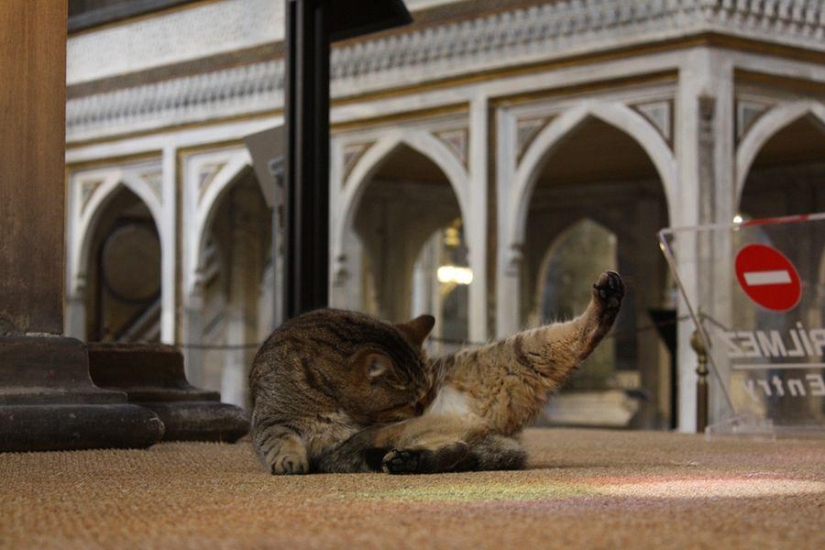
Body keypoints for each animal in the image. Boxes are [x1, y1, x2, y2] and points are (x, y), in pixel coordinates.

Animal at [248, 270, 620, 474]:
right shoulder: (271, 418)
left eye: (422, 397)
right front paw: (289, 459)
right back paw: (412, 460)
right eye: (410, 401)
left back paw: (609, 296)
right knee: (455, 451)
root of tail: (482, 420)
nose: (423, 409)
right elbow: (277, 437)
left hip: (520, 352)